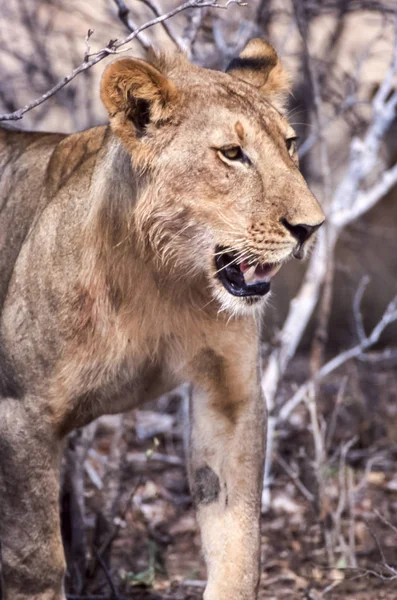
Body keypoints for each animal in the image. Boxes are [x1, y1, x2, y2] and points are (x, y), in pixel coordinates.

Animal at [0, 39, 322, 596]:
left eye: (290, 144)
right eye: (232, 154)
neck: (162, 278)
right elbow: (34, 558)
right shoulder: (21, 410)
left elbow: (238, 538)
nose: (311, 227)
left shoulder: (230, 395)